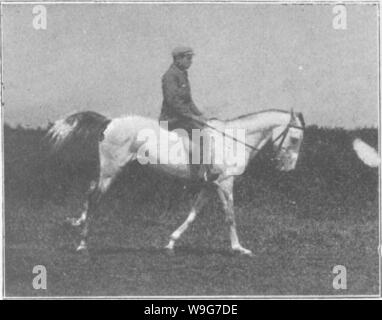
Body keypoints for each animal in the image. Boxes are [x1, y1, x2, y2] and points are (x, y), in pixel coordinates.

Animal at [47, 109, 304, 256]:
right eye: (295, 138)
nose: (289, 169)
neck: (233, 139)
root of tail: (109, 121)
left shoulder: (209, 185)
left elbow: (193, 213)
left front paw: (171, 242)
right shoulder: (225, 183)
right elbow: (230, 215)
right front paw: (239, 248)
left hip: (108, 171)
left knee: (90, 190)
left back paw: (78, 223)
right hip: (112, 170)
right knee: (94, 197)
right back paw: (82, 243)